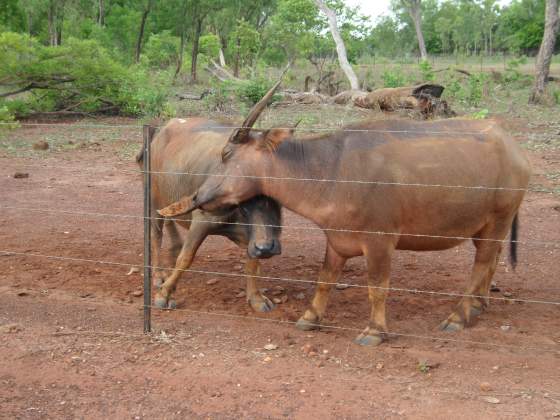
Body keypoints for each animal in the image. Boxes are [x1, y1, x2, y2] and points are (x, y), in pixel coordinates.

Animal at [158, 93, 528, 346]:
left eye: (225, 153)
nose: (199, 197)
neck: (332, 169)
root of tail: (513, 148)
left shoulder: (379, 242)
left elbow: (377, 287)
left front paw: (374, 331)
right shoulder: (336, 240)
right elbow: (325, 279)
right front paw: (310, 317)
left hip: (498, 220)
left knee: (480, 266)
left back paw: (459, 316)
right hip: (486, 227)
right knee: (491, 262)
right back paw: (478, 307)